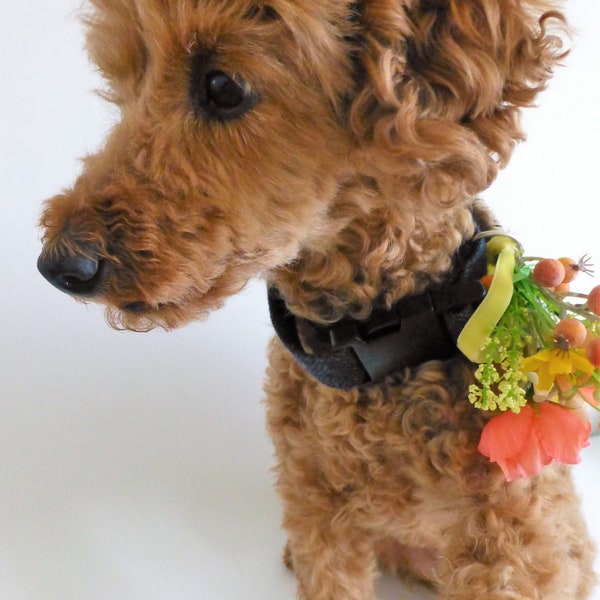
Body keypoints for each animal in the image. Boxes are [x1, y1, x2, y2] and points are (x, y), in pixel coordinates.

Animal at [36, 1, 596, 600]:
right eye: (124, 79)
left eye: (223, 86)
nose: (58, 266)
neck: (370, 342)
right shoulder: (317, 509)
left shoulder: (511, 549)